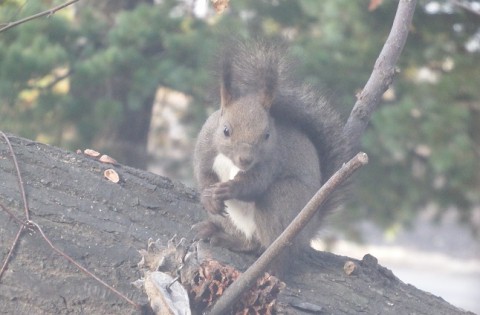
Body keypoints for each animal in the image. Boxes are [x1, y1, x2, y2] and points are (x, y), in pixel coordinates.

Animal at [193, 39, 350, 276]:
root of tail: (310, 228)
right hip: (230, 219)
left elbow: (254, 184)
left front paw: (229, 188)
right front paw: (209, 197)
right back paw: (218, 234)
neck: (232, 162)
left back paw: (271, 269)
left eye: (267, 135)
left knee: (271, 247)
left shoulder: (271, 160)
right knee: (248, 242)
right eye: (226, 131)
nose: (245, 160)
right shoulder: (205, 148)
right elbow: (203, 175)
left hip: (281, 203)